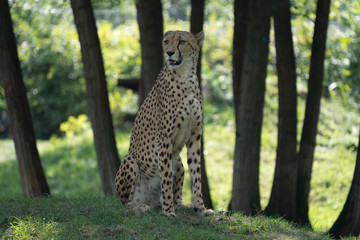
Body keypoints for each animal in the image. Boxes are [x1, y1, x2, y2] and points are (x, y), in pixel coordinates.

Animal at [114, 30, 212, 218]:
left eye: (182, 42)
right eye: (166, 42)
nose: (169, 53)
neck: (185, 78)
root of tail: (150, 200)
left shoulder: (195, 137)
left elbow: (196, 175)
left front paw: (200, 208)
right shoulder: (164, 140)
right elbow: (165, 178)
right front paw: (168, 211)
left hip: (179, 162)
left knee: (177, 191)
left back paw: (182, 205)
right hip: (130, 160)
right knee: (124, 203)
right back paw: (140, 206)